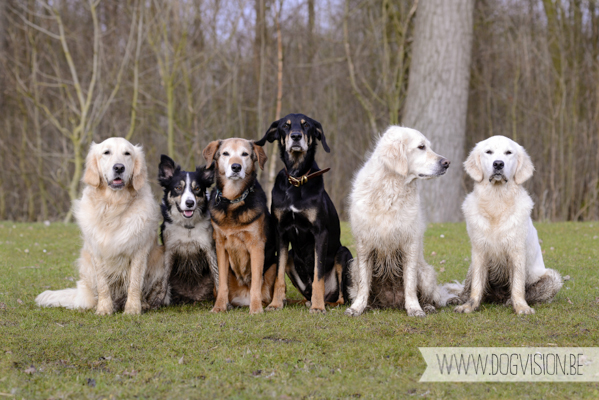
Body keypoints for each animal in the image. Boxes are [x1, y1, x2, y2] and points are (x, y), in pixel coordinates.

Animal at [35, 138, 166, 316]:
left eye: (127, 153)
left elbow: (134, 283)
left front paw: (132, 309)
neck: (113, 205)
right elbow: (103, 284)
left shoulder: (139, 249)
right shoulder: (97, 251)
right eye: (106, 152)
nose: (119, 167)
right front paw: (104, 308)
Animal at [202, 139, 276, 314]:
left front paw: (256, 309)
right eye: (225, 153)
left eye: (245, 154)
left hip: (274, 265)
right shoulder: (220, 246)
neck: (233, 200)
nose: (236, 167)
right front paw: (219, 307)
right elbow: (222, 283)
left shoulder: (256, 245)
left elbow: (256, 282)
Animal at [254, 114, 352, 314]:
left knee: (340, 298)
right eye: (285, 126)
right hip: (292, 257)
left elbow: (318, 275)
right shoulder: (281, 232)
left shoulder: (320, 233)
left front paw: (318, 307)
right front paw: (275, 303)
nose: (296, 136)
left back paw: (323, 302)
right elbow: (278, 276)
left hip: (343, 254)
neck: (297, 179)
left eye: (306, 125)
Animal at [344, 126, 458, 318]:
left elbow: (410, 284)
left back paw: (427, 306)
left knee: (431, 297)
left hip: (426, 274)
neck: (391, 188)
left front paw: (414, 308)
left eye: (428, 146)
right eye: (421, 147)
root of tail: (392, 303)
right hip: (353, 267)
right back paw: (370, 306)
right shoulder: (364, 245)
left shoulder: (409, 244)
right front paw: (357, 307)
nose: (447, 163)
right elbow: (363, 284)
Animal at [458, 136, 564, 314]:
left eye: (509, 152)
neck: (496, 202)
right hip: (471, 267)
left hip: (553, 278)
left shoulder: (517, 251)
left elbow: (518, 286)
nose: (498, 164)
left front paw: (521, 307)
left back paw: (510, 302)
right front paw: (470, 305)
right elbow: (476, 285)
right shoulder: (479, 251)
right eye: (488, 152)